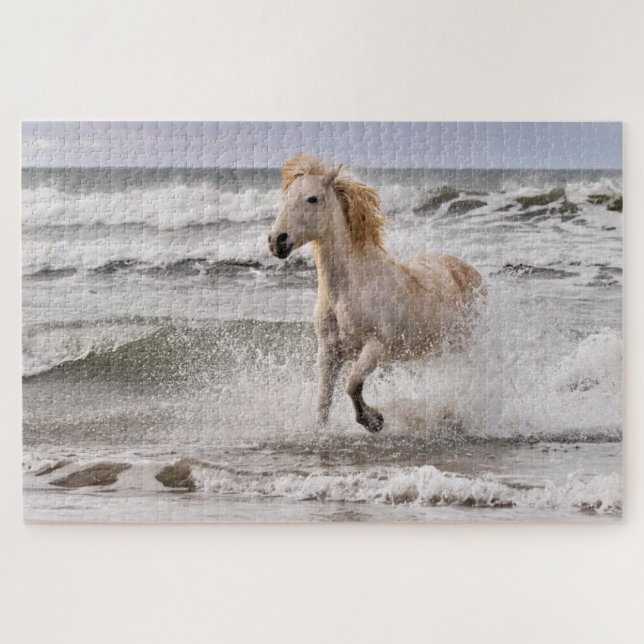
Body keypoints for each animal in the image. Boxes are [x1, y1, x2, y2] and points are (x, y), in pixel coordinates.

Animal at [268, 155, 485, 433]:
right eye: (286, 198)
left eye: (312, 199)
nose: (277, 241)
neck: (347, 289)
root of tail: (471, 272)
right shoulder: (328, 352)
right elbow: (324, 400)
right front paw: (324, 431)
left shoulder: (375, 348)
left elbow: (352, 384)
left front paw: (374, 420)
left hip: (464, 343)